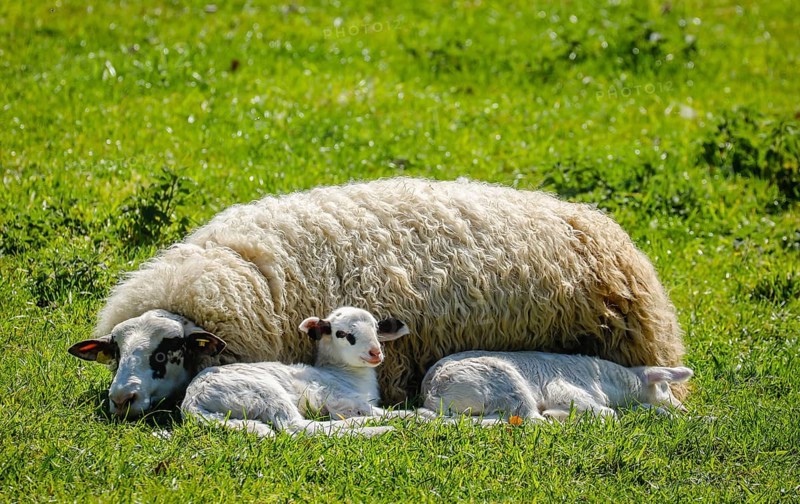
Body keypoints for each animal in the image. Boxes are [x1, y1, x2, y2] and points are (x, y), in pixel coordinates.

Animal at [181, 307, 408, 437]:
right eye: (342, 334)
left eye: (376, 328)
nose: (375, 353)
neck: (343, 373)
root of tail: (192, 399)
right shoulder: (336, 397)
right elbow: (382, 411)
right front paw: (410, 416)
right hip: (266, 392)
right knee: (298, 427)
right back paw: (377, 428)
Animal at [419, 351, 693, 424]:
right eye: (666, 387)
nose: (684, 410)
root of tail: (432, 393)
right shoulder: (566, 391)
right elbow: (609, 413)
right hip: (504, 380)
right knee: (531, 419)